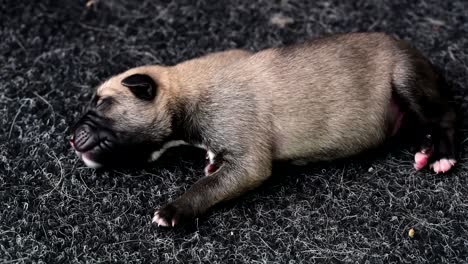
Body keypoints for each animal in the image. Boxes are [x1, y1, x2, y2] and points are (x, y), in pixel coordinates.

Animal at [69, 32, 458, 227]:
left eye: (102, 104)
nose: (71, 137)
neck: (185, 89)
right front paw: (211, 162)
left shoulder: (247, 158)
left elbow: (210, 185)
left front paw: (174, 210)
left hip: (404, 76)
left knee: (443, 117)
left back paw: (438, 153)